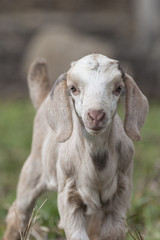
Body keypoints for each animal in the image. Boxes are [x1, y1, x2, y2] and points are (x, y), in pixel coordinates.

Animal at [3, 54, 149, 240]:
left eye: (118, 88)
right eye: (73, 88)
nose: (96, 115)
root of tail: (43, 100)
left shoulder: (122, 192)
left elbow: (112, 232)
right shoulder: (68, 194)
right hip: (32, 171)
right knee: (18, 213)